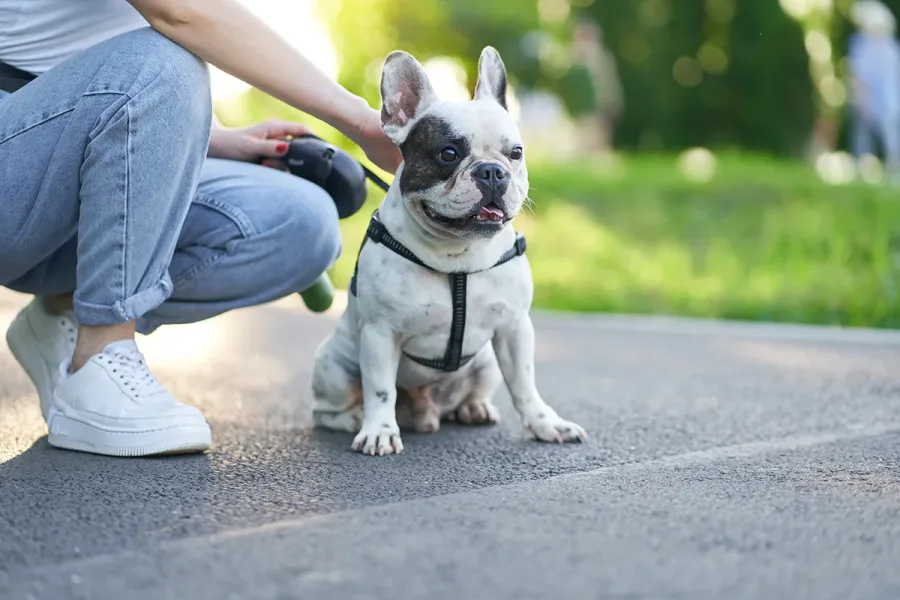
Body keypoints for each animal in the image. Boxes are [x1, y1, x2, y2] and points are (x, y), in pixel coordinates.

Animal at [312, 44, 588, 454]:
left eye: (516, 153)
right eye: (448, 153)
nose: (491, 171)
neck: (459, 256)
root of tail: (424, 412)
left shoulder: (514, 328)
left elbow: (525, 384)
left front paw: (545, 423)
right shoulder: (380, 334)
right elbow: (379, 390)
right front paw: (379, 430)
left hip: (486, 363)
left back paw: (475, 408)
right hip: (331, 365)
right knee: (330, 409)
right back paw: (353, 420)